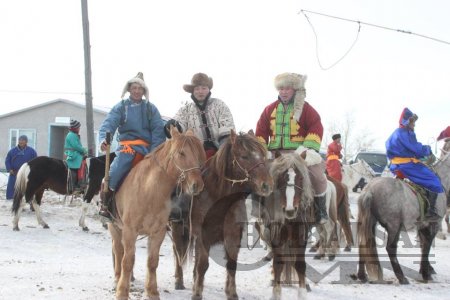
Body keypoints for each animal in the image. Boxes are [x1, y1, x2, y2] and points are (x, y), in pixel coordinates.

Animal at [108, 127, 207, 300]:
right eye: (181, 153)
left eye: (198, 154)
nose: (197, 185)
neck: (149, 191)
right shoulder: (129, 230)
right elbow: (127, 261)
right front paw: (122, 292)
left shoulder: (157, 232)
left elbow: (152, 262)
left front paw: (152, 292)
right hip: (114, 227)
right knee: (119, 252)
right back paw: (117, 280)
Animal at [171, 131, 272, 300]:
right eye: (244, 156)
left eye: (263, 156)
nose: (267, 185)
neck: (217, 197)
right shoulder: (202, 234)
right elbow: (202, 265)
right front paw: (197, 293)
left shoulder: (232, 234)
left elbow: (231, 264)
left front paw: (231, 293)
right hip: (178, 228)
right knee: (178, 252)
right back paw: (179, 281)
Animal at [253, 154, 312, 298]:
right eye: (281, 179)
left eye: (300, 178)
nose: (290, 210)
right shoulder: (277, 237)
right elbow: (278, 264)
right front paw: (276, 292)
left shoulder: (301, 237)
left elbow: (300, 265)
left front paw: (302, 292)